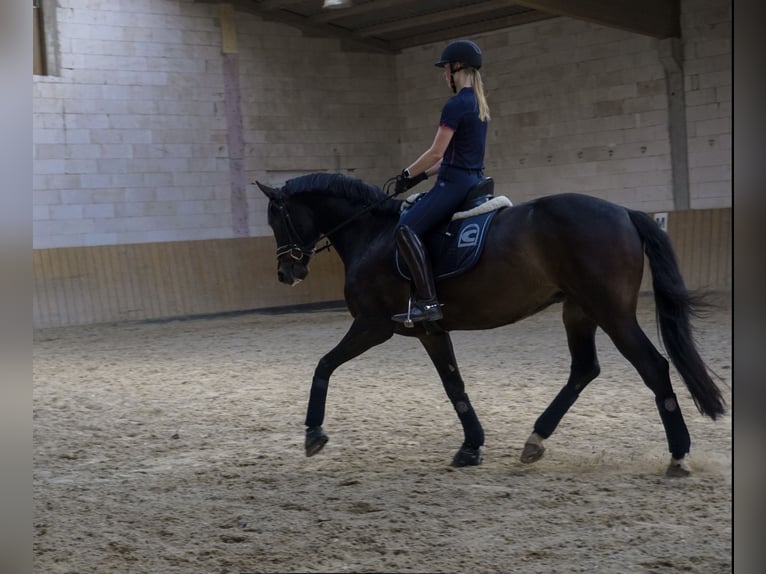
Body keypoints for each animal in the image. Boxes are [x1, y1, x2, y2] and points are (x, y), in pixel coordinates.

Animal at [256, 173, 728, 480]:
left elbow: (323, 365)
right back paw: (535, 440)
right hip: (579, 310)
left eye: (277, 218)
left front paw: (314, 433)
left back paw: (678, 457)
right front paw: (470, 447)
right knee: (584, 369)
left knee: (654, 367)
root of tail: (626, 213)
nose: (286, 272)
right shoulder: (430, 330)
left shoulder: (373, 325)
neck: (372, 234)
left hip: (612, 313)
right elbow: (454, 385)